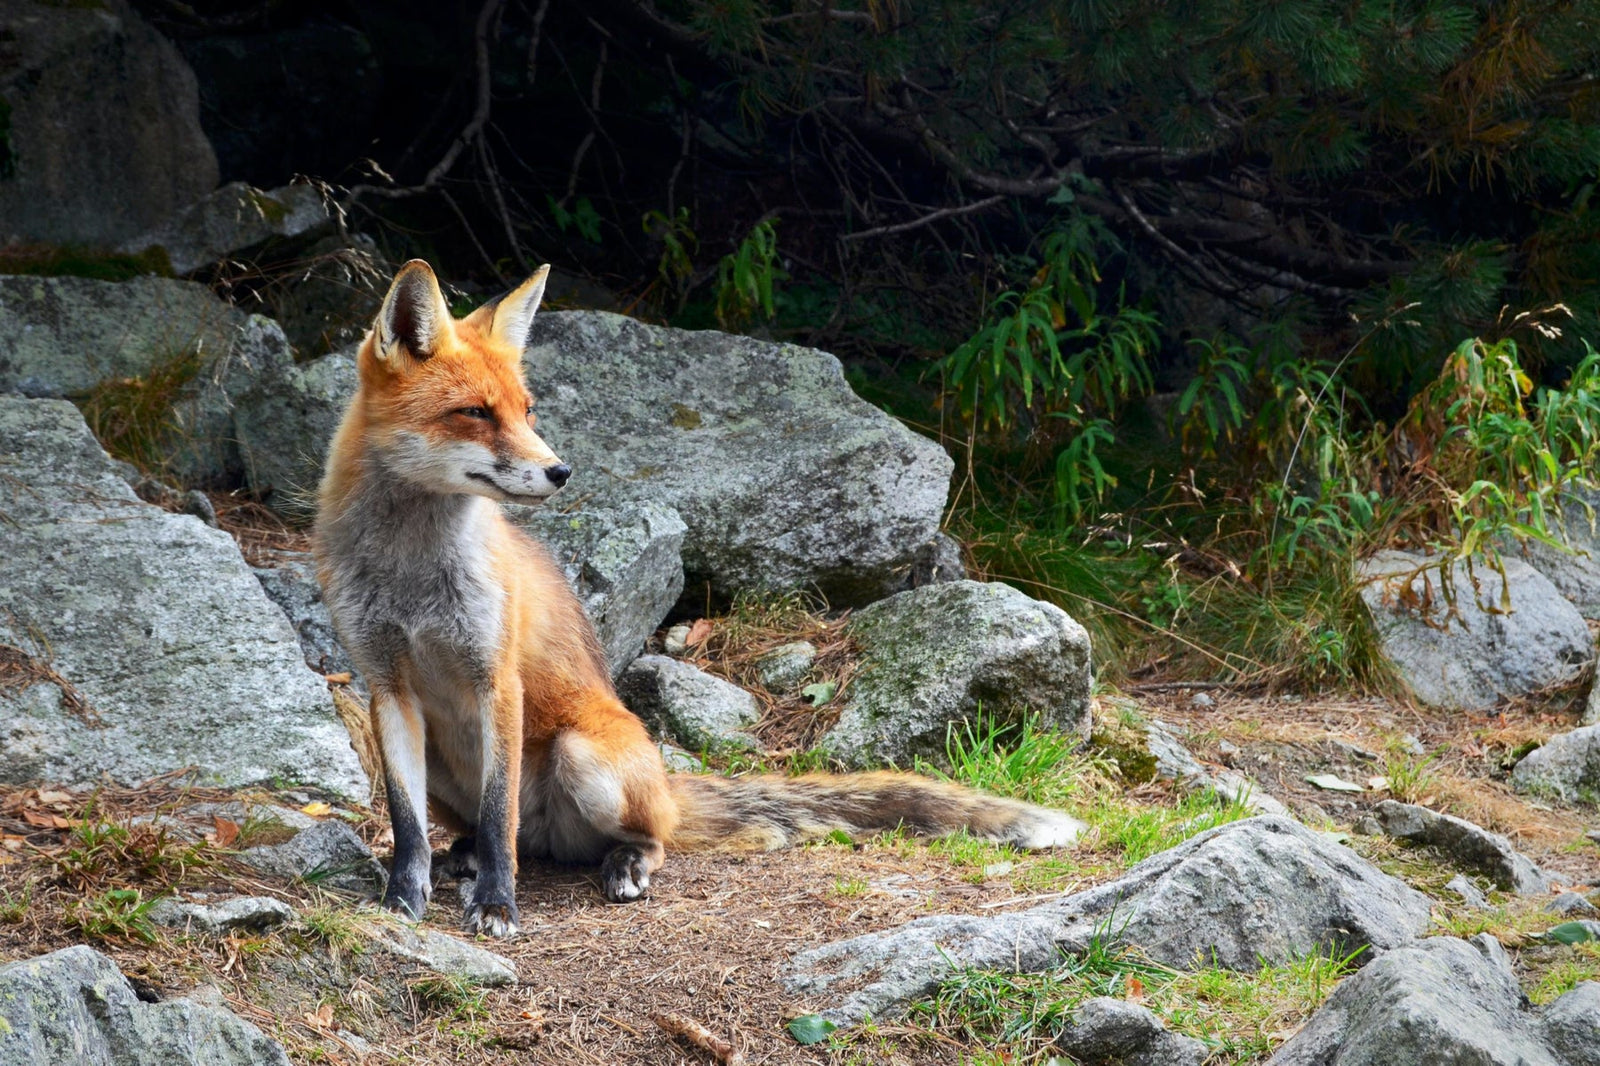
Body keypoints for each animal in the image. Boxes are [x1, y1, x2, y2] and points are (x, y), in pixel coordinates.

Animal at [313, 259, 1086, 937]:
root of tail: (662, 782)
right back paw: (467, 856)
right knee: (497, 832)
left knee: (622, 838)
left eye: (528, 411)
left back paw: (621, 865)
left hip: (583, 758)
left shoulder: (495, 679)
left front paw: (499, 907)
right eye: (475, 412)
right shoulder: (387, 687)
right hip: (449, 770)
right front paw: (402, 898)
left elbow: (500, 811)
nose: (561, 471)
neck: (411, 576)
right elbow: (406, 825)